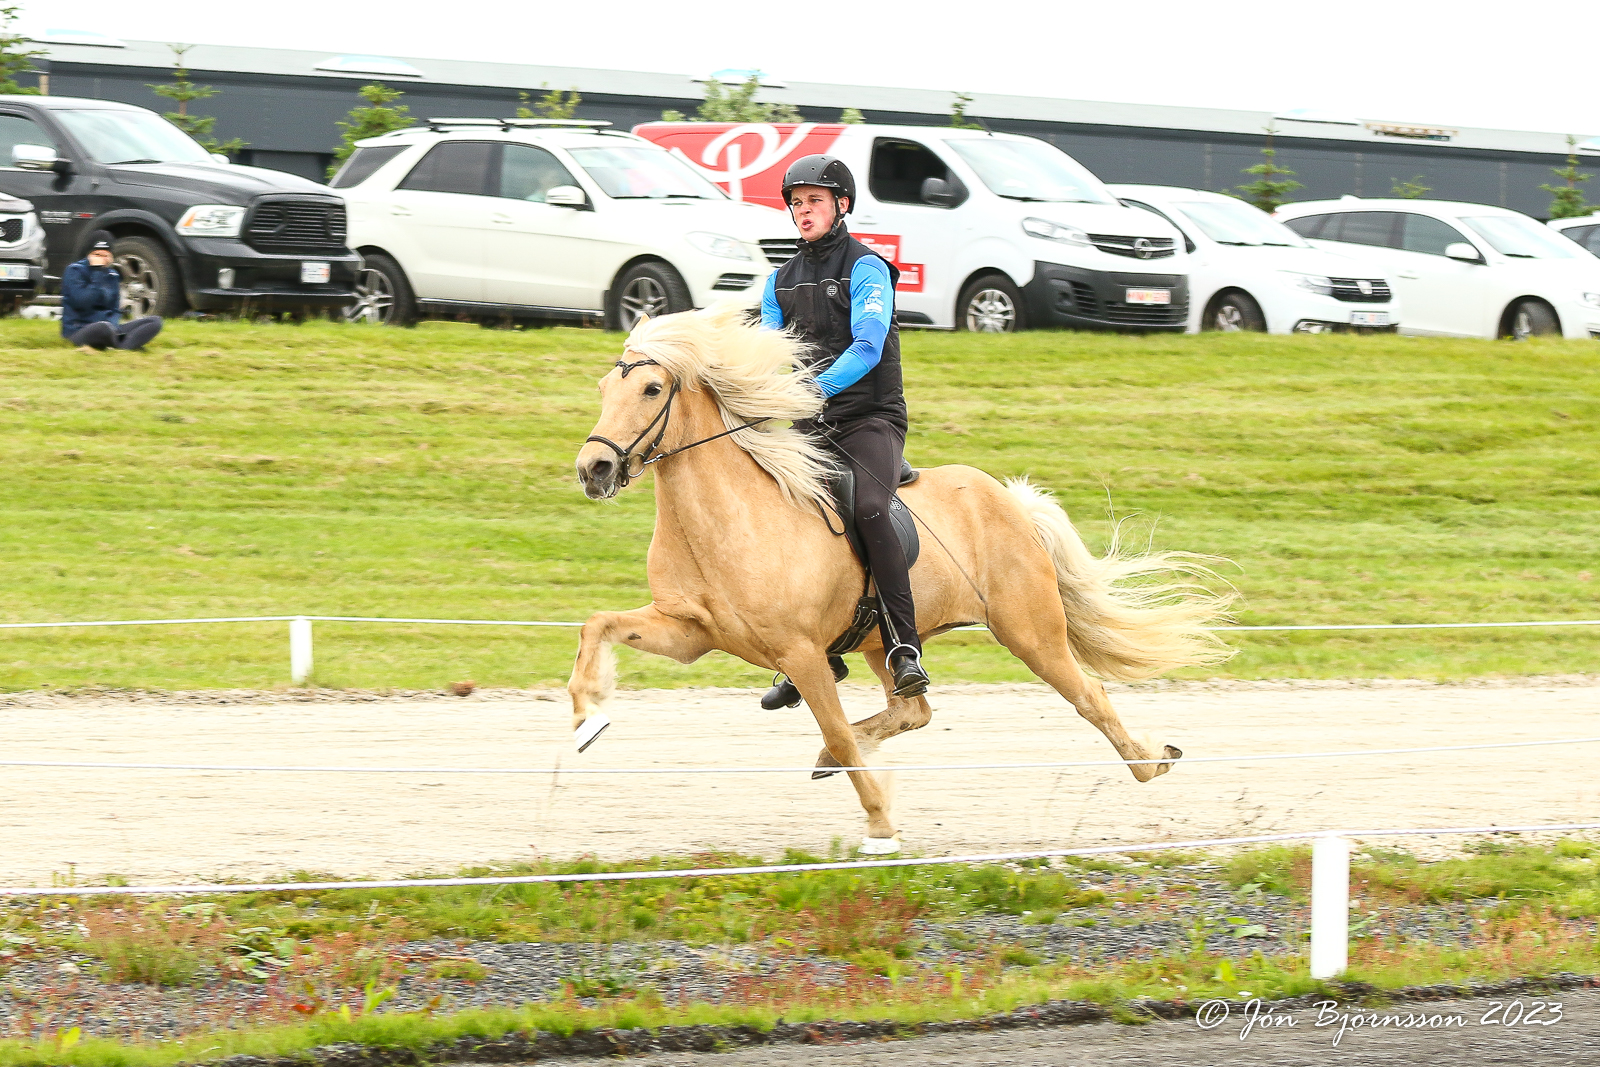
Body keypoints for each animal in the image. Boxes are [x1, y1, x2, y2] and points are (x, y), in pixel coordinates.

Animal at [569, 303, 1228, 857]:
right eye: (603, 389)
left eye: (652, 388)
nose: (593, 469)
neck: (726, 518)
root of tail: (1009, 501)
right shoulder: (691, 633)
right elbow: (596, 625)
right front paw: (586, 720)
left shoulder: (800, 652)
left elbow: (836, 729)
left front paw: (881, 826)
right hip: (883, 640)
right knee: (913, 708)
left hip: (1029, 631)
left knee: (1087, 696)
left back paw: (1151, 762)